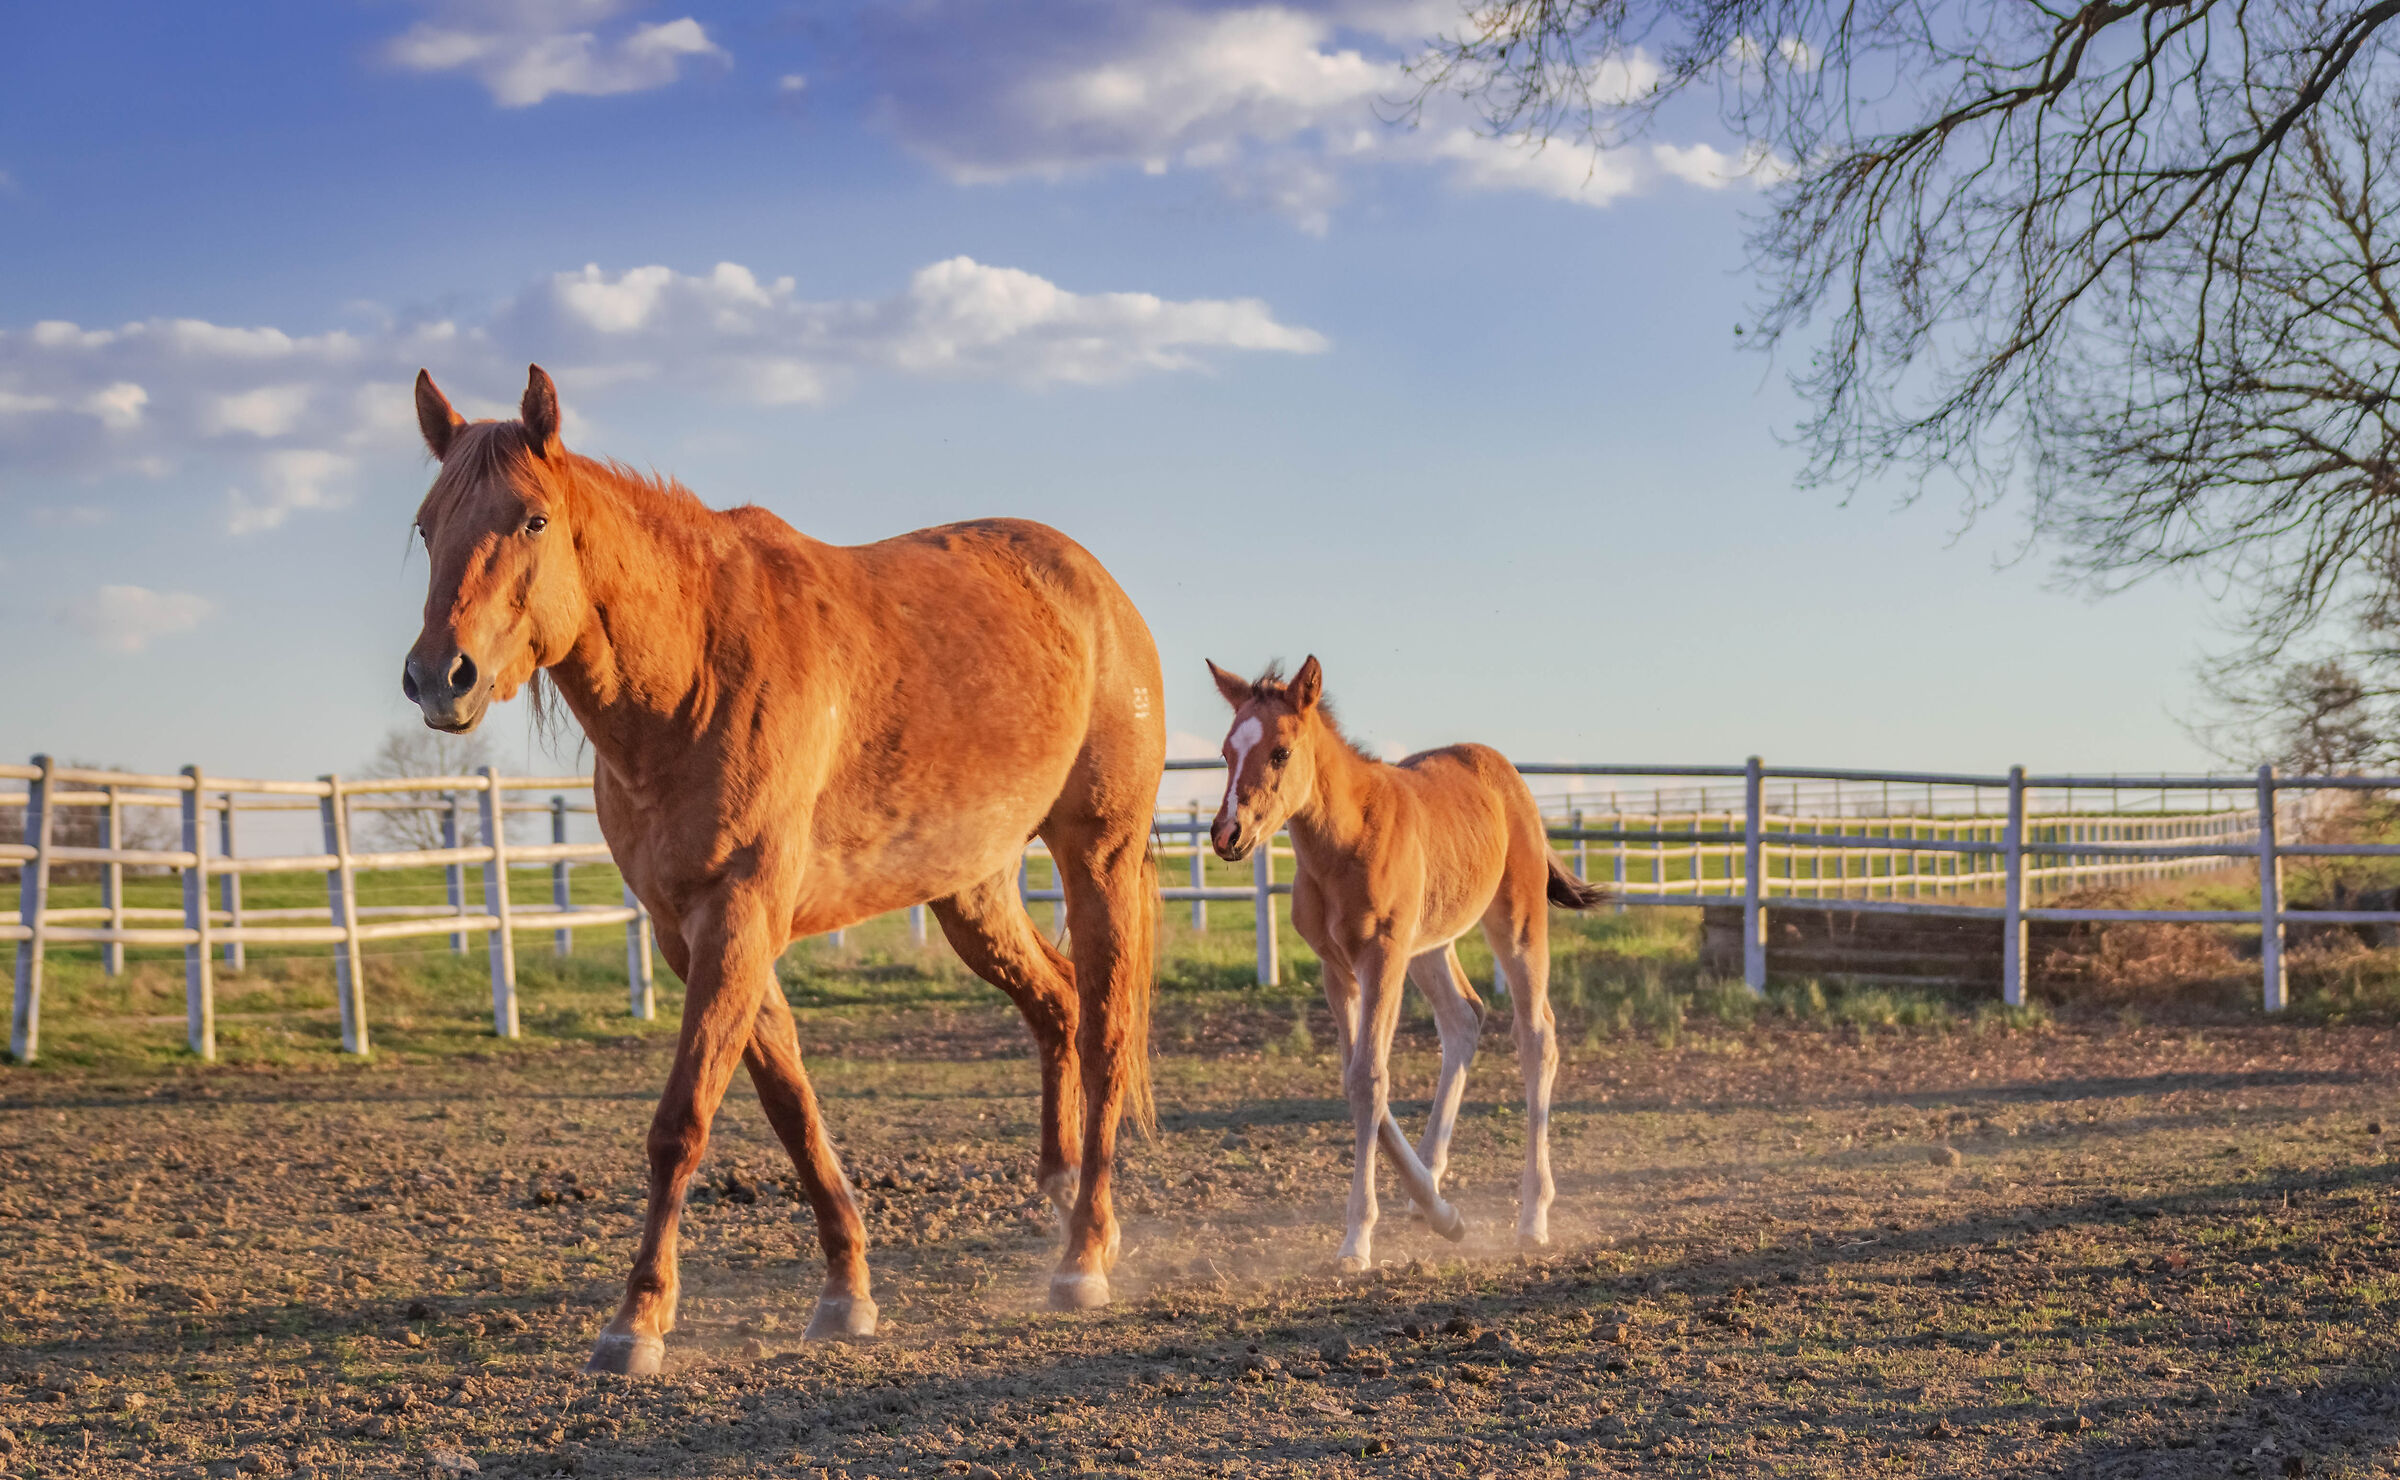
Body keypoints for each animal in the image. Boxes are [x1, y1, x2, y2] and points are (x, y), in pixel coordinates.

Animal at [404, 364, 1165, 1373]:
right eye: (426, 525)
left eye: (532, 519)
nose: (437, 677)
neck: (692, 673)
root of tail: (1099, 591)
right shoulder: (693, 932)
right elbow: (789, 1105)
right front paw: (847, 1290)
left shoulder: (741, 915)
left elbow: (683, 1121)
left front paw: (637, 1320)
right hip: (973, 891)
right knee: (1060, 1004)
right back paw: (1061, 1195)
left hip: (1098, 856)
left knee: (1107, 1029)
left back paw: (1084, 1256)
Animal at [1205, 655, 1609, 1271]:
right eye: (1228, 752)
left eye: (1280, 752)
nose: (1228, 833)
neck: (1343, 844)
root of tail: (1505, 772)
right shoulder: (1338, 969)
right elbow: (1357, 1078)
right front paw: (1444, 1214)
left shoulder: (1383, 956)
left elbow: (1370, 1078)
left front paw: (1355, 1241)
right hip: (1431, 944)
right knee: (1464, 1018)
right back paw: (1433, 1194)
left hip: (1516, 923)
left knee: (1538, 1035)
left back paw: (1533, 1216)